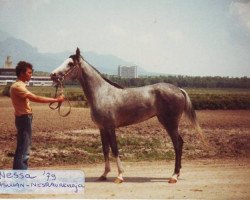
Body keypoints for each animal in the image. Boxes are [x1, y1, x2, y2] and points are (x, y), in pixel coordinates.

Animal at [50, 47, 203, 184]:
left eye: (70, 63)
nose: (52, 75)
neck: (102, 93)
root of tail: (179, 89)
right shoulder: (102, 128)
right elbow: (105, 150)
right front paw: (104, 174)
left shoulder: (110, 128)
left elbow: (115, 149)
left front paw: (120, 176)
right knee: (180, 143)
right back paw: (176, 173)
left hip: (170, 123)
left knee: (177, 144)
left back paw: (174, 176)